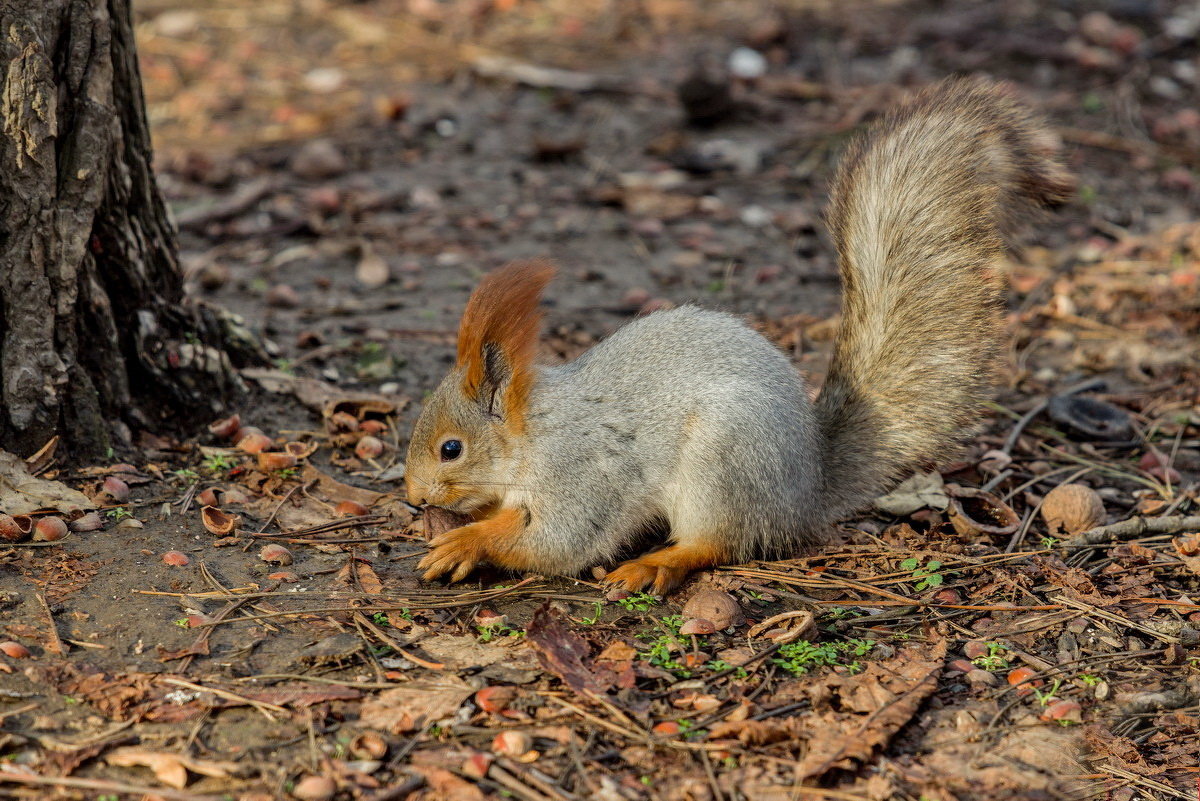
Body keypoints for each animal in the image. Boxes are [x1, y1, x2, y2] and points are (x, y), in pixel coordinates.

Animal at [403, 79, 1070, 594]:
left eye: (451, 449)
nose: (412, 498)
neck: (531, 434)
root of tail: (807, 489)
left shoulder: (583, 473)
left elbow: (558, 544)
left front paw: (469, 541)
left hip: (723, 464)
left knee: (722, 543)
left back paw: (656, 564)